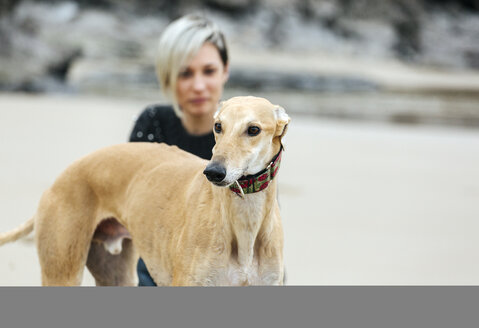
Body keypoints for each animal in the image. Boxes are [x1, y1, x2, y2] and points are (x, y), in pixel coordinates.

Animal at [0, 96, 290, 286]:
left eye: (253, 129)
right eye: (218, 126)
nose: (213, 172)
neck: (244, 222)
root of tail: (59, 179)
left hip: (113, 271)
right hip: (62, 268)